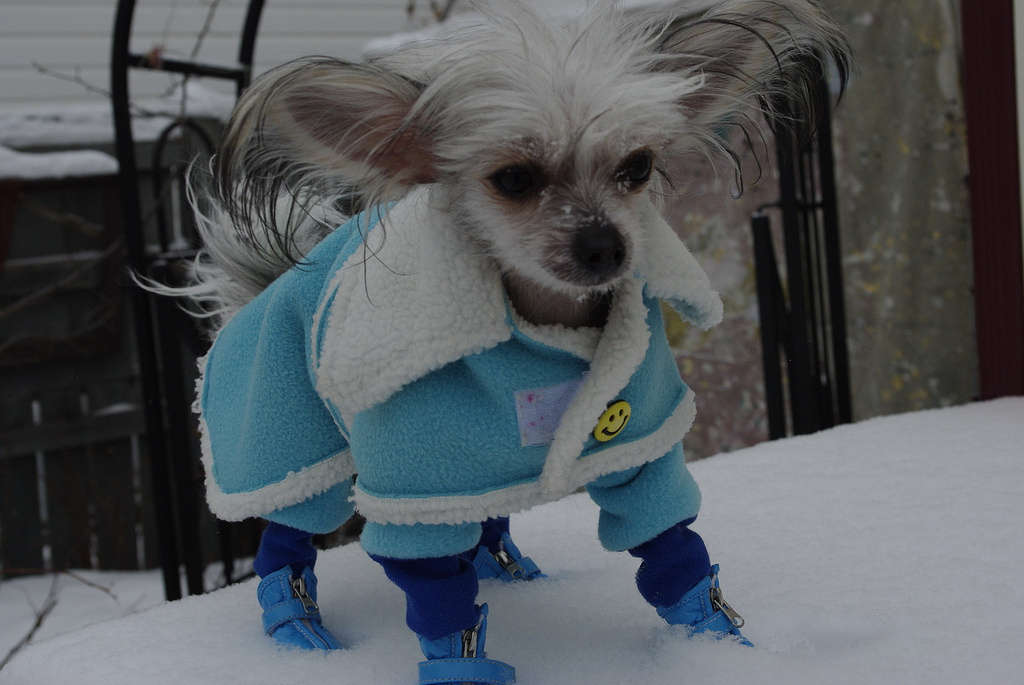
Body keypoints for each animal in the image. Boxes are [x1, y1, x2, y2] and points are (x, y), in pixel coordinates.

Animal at [169, 1, 847, 679]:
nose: (605, 246)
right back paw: (295, 627)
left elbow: (673, 554)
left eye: (637, 167)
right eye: (515, 179)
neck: (544, 327)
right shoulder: (417, 497)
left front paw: (716, 646)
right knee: (288, 533)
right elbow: (442, 607)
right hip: (290, 448)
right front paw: (460, 669)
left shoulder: (639, 455)